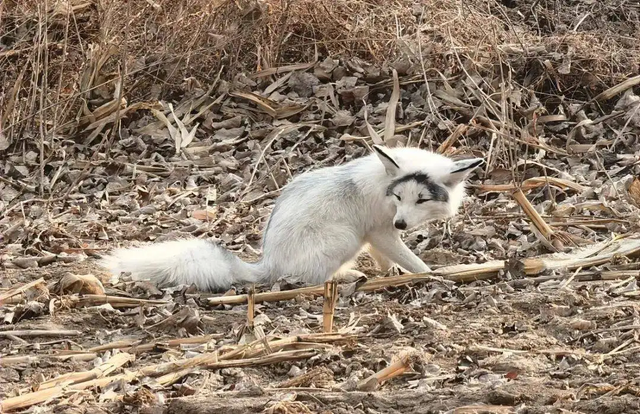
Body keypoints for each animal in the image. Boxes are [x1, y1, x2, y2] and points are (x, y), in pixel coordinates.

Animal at [99, 146, 480, 292]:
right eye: (399, 197)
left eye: (421, 199)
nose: (403, 223)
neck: (383, 185)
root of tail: (267, 263)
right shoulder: (379, 231)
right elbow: (413, 261)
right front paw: (431, 275)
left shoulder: (380, 235)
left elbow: (388, 260)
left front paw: (392, 274)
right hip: (344, 238)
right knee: (311, 279)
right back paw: (345, 277)